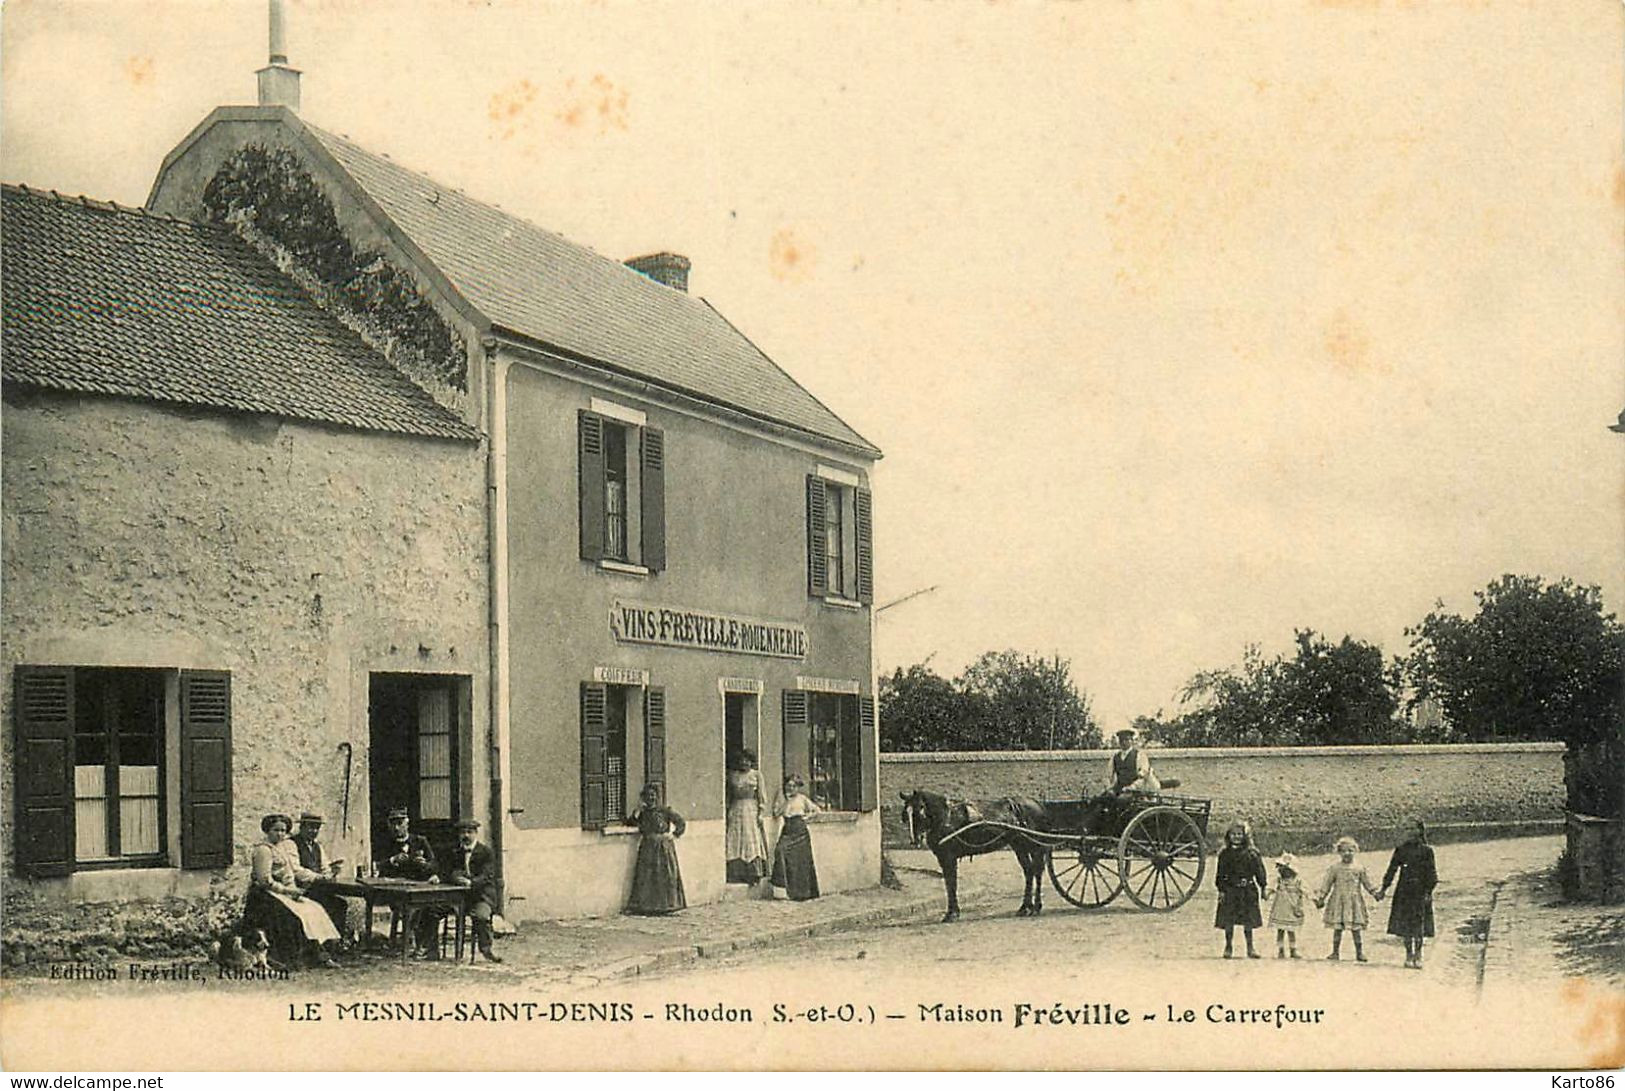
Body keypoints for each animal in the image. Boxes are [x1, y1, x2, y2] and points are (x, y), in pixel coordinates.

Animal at [903, 790, 1053, 923]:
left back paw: (1036, 906)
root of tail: (1037, 803)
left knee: (1037, 871)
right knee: (1029, 871)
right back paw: (1026, 907)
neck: (947, 817)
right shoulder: (943, 858)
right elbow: (949, 883)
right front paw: (953, 912)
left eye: (920, 809)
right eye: (905, 814)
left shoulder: (949, 857)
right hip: (1019, 846)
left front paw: (951, 914)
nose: (914, 841)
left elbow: (952, 883)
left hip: (1034, 845)